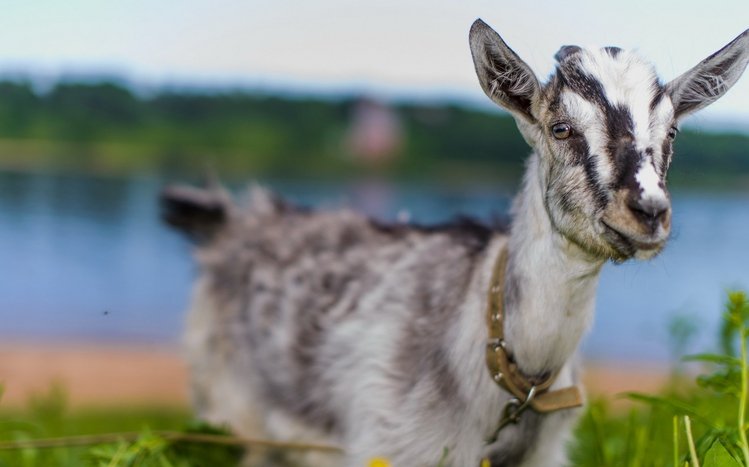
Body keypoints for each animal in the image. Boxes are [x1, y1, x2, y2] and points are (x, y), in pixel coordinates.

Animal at [162, 20, 749, 466]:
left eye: (671, 132)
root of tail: (234, 220)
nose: (648, 211)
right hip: (230, 409)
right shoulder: (392, 445)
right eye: (560, 128)